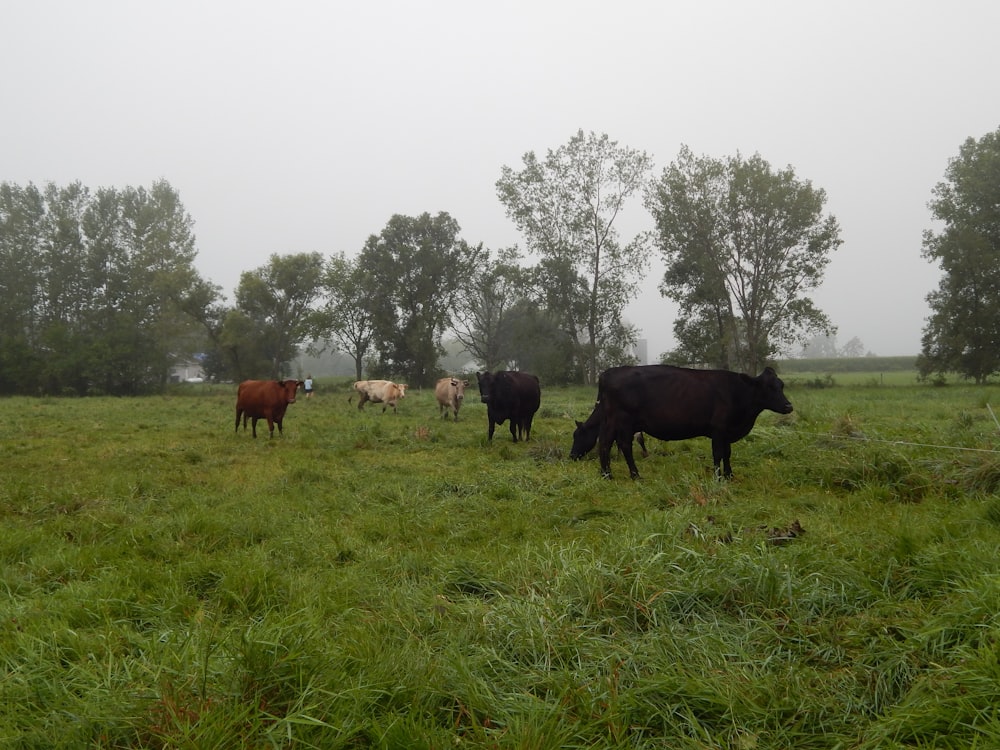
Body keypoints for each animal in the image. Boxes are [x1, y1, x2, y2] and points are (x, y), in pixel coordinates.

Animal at [576, 366, 792, 482]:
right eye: (768, 387)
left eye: (781, 385)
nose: (789, 406)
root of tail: (608, 373)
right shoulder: (718, 429)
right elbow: (718, 454)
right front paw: (718, 478)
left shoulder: (727, 431)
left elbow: (728, 453)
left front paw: (729, 475)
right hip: (623, 420)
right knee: (621, 445)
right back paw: (634, 475)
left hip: (612, 421)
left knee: (605, 443)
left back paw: (607, 475)